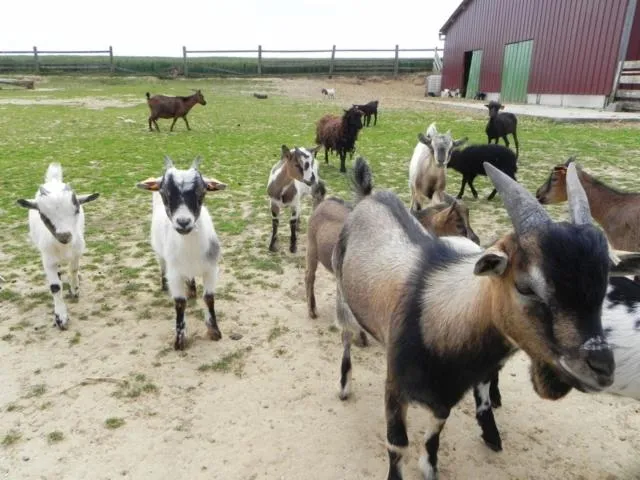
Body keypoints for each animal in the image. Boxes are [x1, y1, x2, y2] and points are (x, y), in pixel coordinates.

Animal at [16, 165, 100, 330]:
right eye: (42, 215)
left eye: (77, 210)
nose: (64, 235)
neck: (63, 247)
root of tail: (53, 181)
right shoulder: (48, 259)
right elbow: (55, 287)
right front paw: (61, 317)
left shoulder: (77, 252)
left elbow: (73, 271)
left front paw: (74, 290)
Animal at [135, 157, 228, 348]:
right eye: (164, 193)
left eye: (202, 191)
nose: (183, 222)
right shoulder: (175, 273)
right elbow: (179, 303)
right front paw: (179, 339)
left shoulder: (211, 269)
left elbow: (209, 298)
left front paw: (214, 331)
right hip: (160, 254)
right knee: (162, 266)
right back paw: (164, 285)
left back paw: (192, 290)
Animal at [330, 159, 616, 478]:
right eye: (526, 287)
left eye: (604, 286)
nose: (602, 369)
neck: (445, 313)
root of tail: (368, 197)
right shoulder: (395, 388)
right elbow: (397, 445)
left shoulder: (447, 393)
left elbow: (436, 430)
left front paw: (430, 466)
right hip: (343, 296)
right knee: (345, 336)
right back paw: (344, 385)